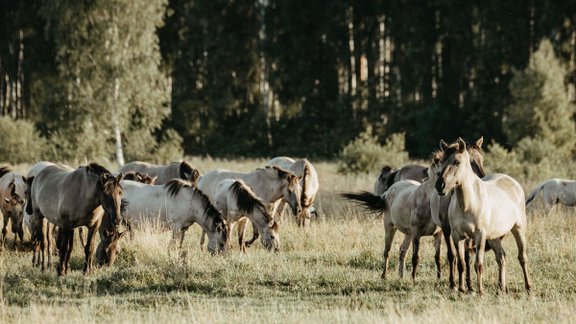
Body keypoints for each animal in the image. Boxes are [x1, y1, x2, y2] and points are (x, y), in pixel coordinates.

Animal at [436, 138, 532, 294]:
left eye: (457, 162)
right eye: (442, 161)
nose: (440, 186)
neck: (467, 204)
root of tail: (513, 182)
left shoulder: (479, 236)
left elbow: (478, 264)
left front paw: (480, 291)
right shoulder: (457, 236)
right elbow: (461, 263)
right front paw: (461, 289)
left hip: (518, 229)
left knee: (522, 257)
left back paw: (528, 287)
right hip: (493, 237)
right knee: (501, 257)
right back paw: (501, 288)